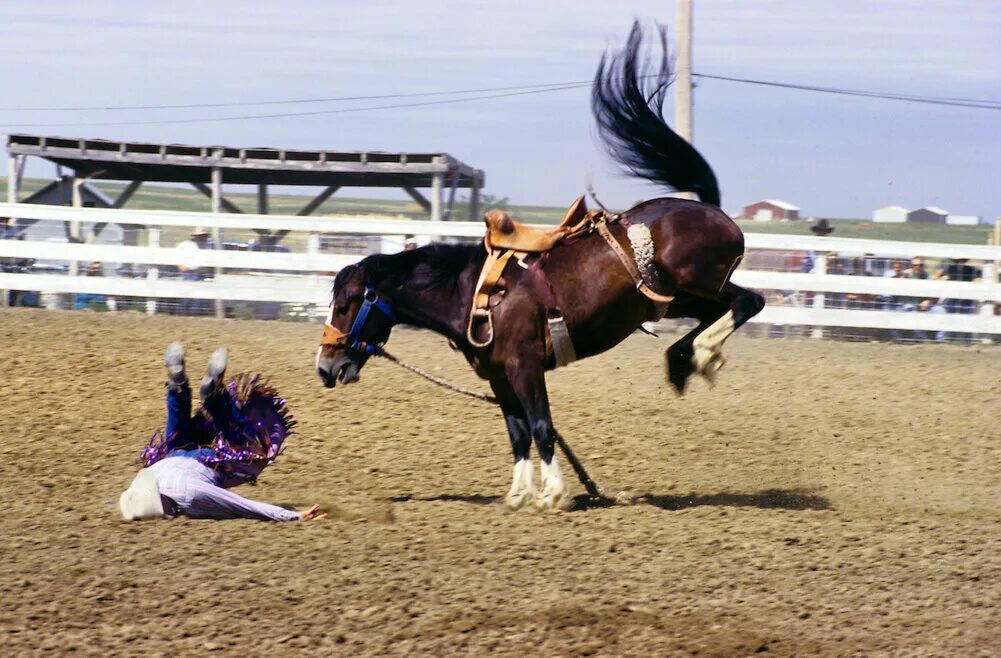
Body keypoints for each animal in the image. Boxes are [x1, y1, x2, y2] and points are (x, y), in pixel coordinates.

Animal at [316, 23, 760, 510]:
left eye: (346, 305)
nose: (325, 367)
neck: (472, 293)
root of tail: (706, 208)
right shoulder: (499, 377)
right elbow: (518, 432)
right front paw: (518, 494)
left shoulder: (525, 367)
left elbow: (542, 425)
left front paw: (554, 495)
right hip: (671, 300)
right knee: (717, 313)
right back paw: (685, 359)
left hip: (697, 283)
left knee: (747, 301)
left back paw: (701, 354)